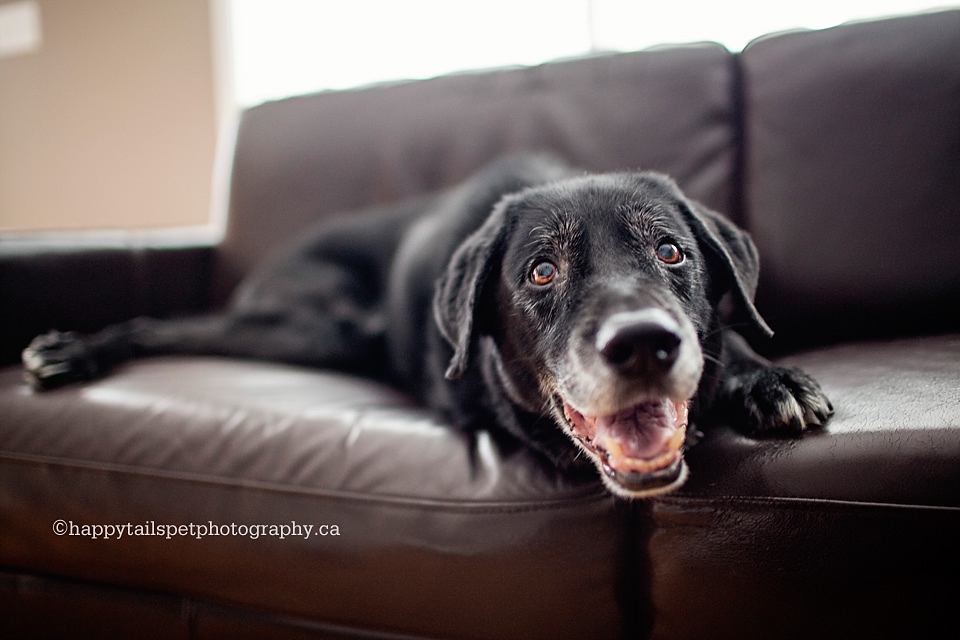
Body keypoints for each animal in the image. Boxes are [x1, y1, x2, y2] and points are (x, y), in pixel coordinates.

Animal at [22, 155, 832, 500]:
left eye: (670, 251)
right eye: (541, 272)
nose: (642, 344)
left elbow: (730, 337)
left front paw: (768, 378)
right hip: (318, 327)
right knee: (161, 323)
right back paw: (72, 352)